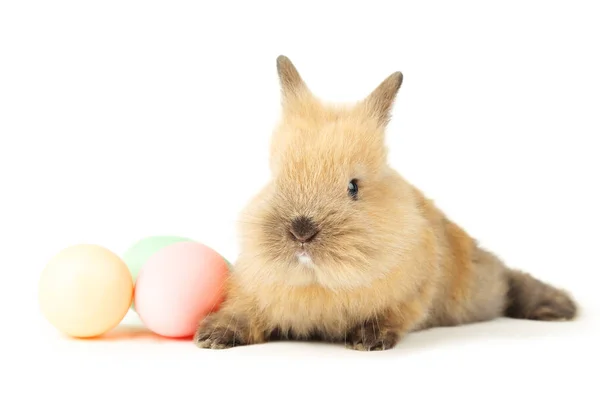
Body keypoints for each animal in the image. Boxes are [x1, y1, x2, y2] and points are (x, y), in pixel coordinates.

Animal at [192, 55, 576, 350]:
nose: (301, 231)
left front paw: (367, 341)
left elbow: (391, 317)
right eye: (276, 178)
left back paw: (560, 307)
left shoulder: (411, 297)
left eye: (353, 187)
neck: (321, 283)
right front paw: (213, 337)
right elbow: (243, 313)